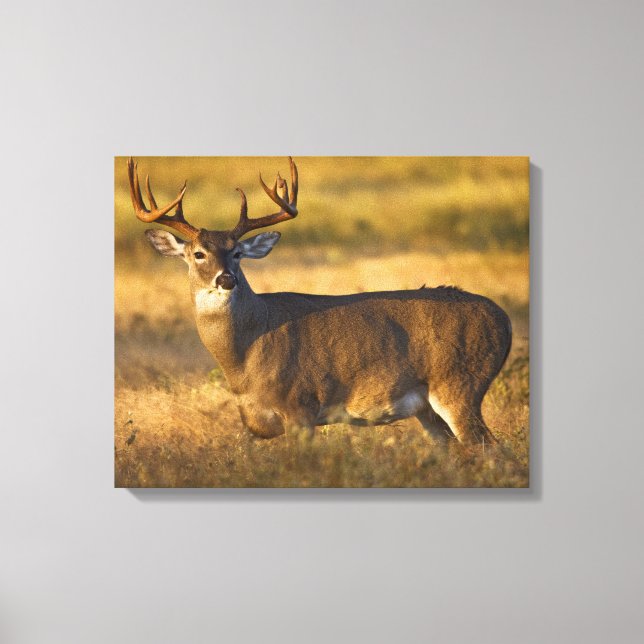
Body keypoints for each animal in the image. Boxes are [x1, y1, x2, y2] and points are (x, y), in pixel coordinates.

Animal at [126, 157, 512, 445]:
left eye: (237, 253)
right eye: (198, 254)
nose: (226, 279)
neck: (245, 356)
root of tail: (504, 319)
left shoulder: (300, 404)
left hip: (460, 384)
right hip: (428, 409)